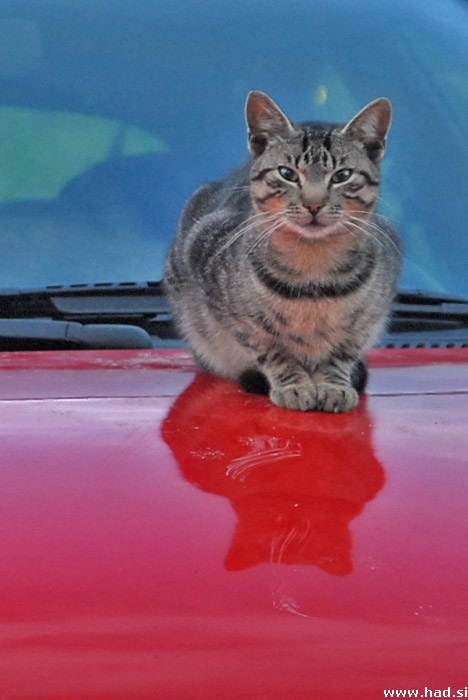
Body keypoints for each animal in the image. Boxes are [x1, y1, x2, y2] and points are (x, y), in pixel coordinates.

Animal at [165, 91, 402, 412]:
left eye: (342, 175)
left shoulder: (367, 321)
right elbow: (272, 350)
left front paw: (334, 384)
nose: (313, 204)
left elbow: (342, 352)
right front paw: (295, 385)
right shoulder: (234, 313)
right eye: (287, 173)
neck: (314, 267)